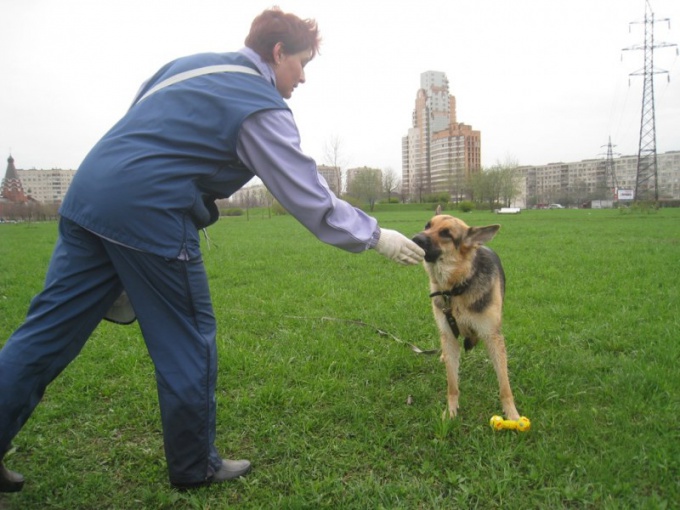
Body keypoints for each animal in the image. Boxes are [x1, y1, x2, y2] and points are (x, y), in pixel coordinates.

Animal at [410, 214, 520, 418]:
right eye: (428, 225)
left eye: (446, 234)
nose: (415, 239)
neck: (458, 287)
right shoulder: (449, 335)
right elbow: (452, 383)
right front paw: (451, 411)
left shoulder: (493, 336)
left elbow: (504, 385)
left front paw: (512, 414)